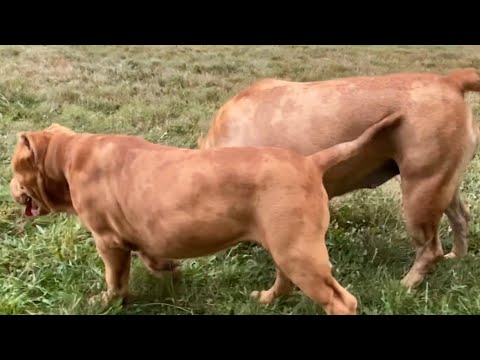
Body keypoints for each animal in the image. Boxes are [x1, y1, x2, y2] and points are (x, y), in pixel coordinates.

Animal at [10, 114, 402, 314]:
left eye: (13, 167)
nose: (10, 188)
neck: (69, 154)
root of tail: (310, 162)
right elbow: (154, 258)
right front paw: (169, 272)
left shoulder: (108, 242)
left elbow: (115, 279)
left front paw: (108, 302)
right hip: (287, 243)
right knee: (286, 280)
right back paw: (266, 300)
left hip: (298, 251)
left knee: (340, 300)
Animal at [199, 67, 480, 288]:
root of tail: (451, 81)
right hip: (442, 184)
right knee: (460, 218)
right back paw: (457, 257)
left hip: (420, 191)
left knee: (429, 249)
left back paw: (406, 285)